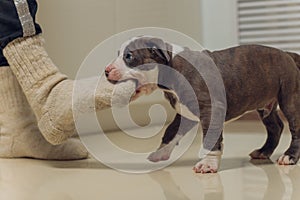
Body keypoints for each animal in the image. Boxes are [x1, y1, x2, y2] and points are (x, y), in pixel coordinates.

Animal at [104, 36, 298, 173]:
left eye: (129, 56)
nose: (106, 70)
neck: (172, 66)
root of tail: (287, 54)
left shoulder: (211, 109)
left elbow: (210, 139)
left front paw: (208, 164)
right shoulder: (184, 111)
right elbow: (171, 131)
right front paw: (160, 153)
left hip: (289, 97)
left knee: (294, 128)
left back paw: (289, 156)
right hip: (264, 103)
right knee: (276, 126)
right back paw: (264, 151)